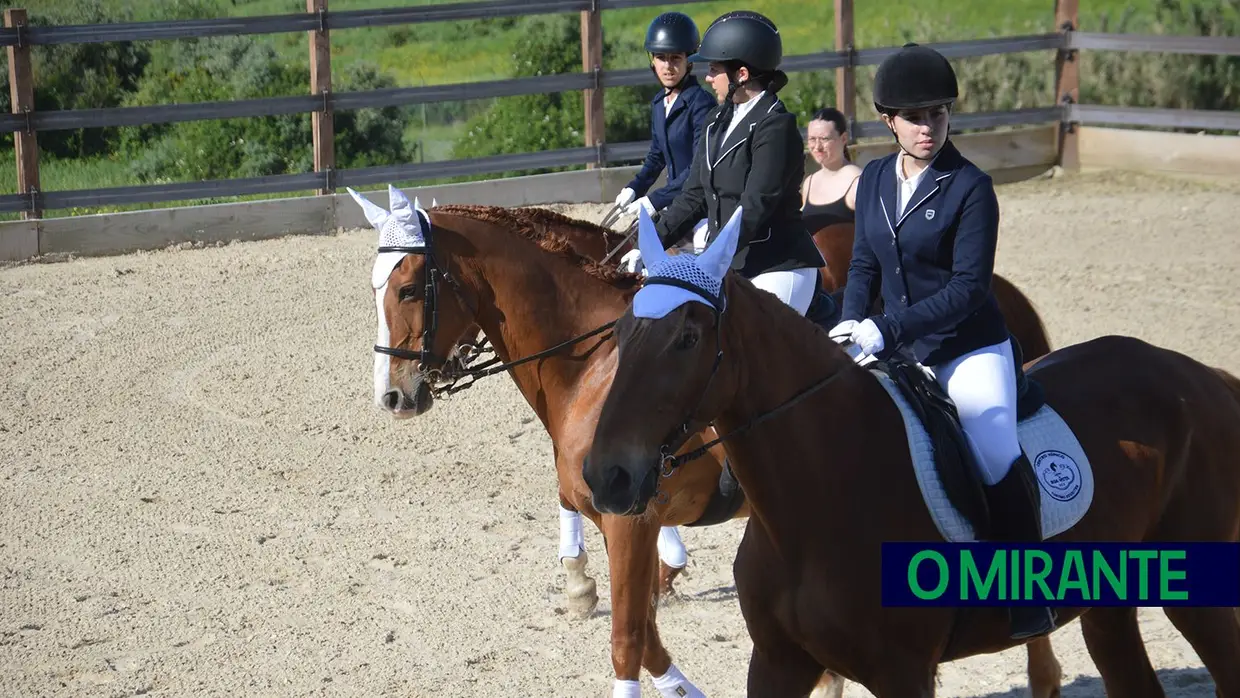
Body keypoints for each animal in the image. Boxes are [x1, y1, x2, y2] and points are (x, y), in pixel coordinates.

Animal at [352, 187, 1066, 698]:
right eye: (375, 287)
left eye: (409, 287)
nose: (394, 396)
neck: (593, 359)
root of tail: (1006, 297)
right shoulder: (608, 506)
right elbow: (643, 628)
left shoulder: (630, 518)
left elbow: (629, 637)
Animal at [577, 207, 1240, 698]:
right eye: (620, 332)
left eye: (688, 338)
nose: (607, 476)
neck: (816, 501)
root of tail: (1201, 376)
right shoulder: (776, 661)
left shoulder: (902, 673)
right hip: (1108, 608)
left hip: (1198, 597)